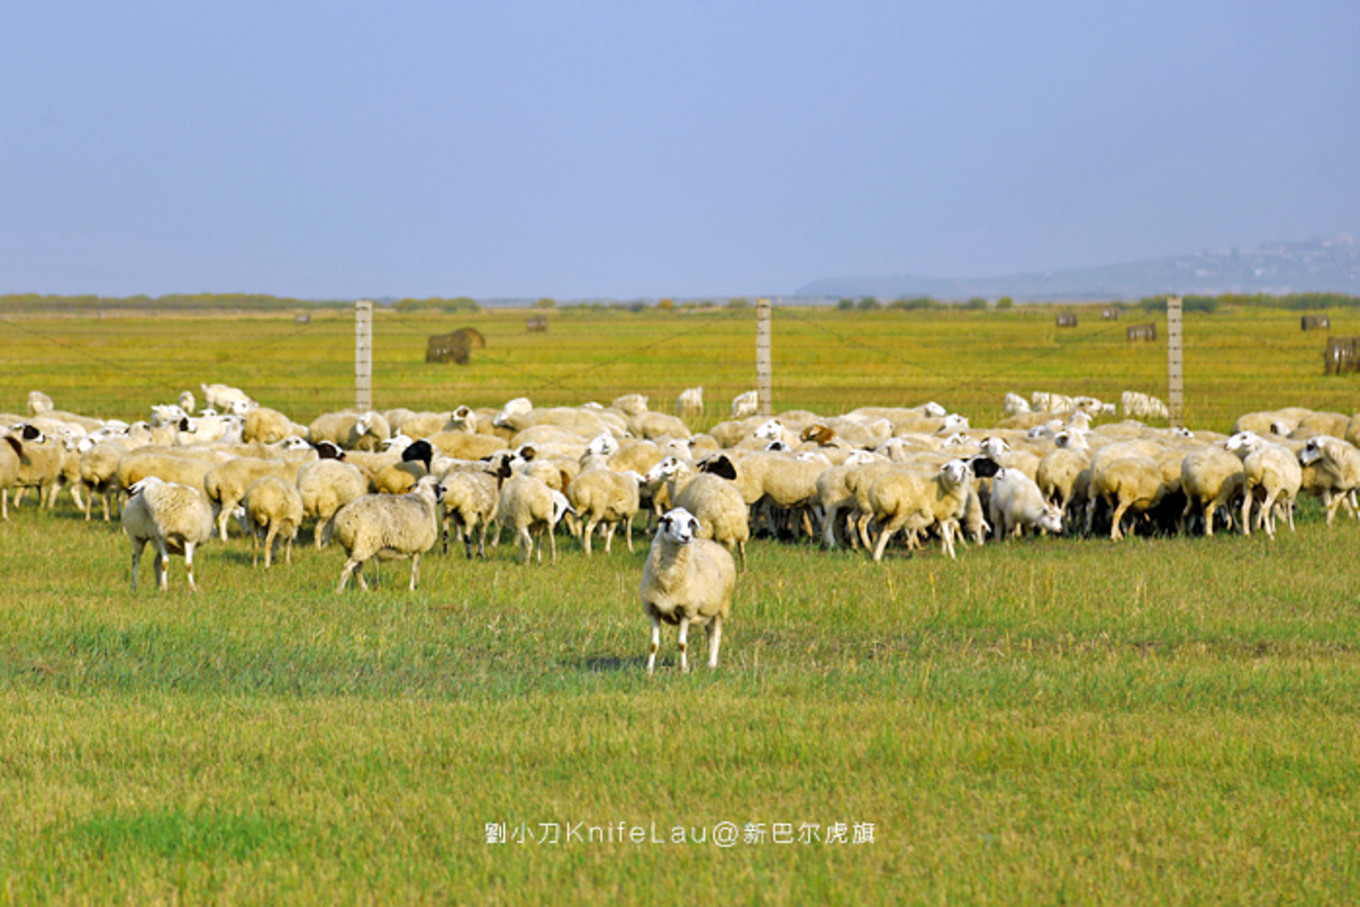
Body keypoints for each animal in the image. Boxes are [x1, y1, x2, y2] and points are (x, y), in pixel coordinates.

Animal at [639, 508, 739, 677]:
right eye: (669, 520)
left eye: (690, 522)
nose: (686, 537)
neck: (668, 582)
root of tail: (711, 542)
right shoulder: (654, 610)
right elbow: (653, 644)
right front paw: (649, 671)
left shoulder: (686, 611)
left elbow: (682, 644)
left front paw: (684, 670)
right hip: (707, 611)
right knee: (710, 634)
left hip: (722, 606)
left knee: (716, 635)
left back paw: (712, 664)